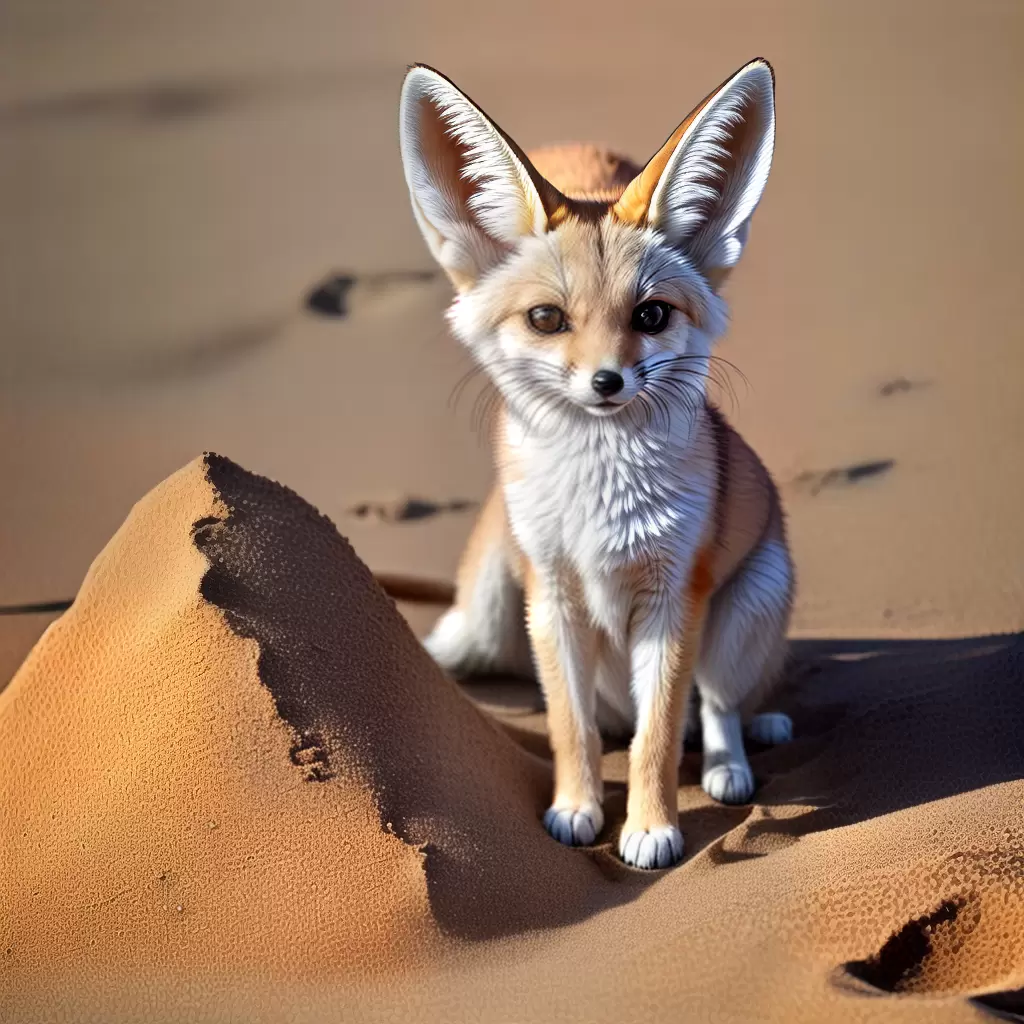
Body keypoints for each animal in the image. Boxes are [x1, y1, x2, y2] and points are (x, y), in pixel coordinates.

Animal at [398, 58, 794, 870]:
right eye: (548, 319)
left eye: (651, 315)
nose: (607, 382)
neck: (599, 504)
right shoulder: (551, 598)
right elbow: (569, 728)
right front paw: (577, 809)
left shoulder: (675, 599)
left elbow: (656, 738)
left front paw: (651, 828)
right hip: (484, 614)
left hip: (751, 599)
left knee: (721, 706)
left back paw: (731, 762)